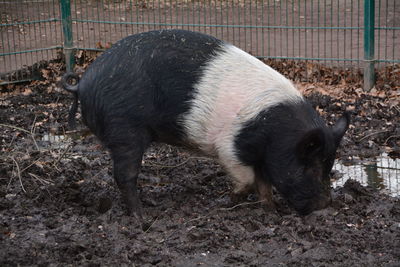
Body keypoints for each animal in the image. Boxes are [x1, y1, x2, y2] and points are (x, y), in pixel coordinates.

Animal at [61, 29, 348, 218]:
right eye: (311, 167)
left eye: (329, 166)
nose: (325, 206)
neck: (275, 133)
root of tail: (83, 84)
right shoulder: (230, 146)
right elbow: (248, 179)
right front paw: (227, 201)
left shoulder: (261, 156)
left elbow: (264, 183)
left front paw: (271, 210)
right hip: (124, 130)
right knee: (124, 175)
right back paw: (141, 217)